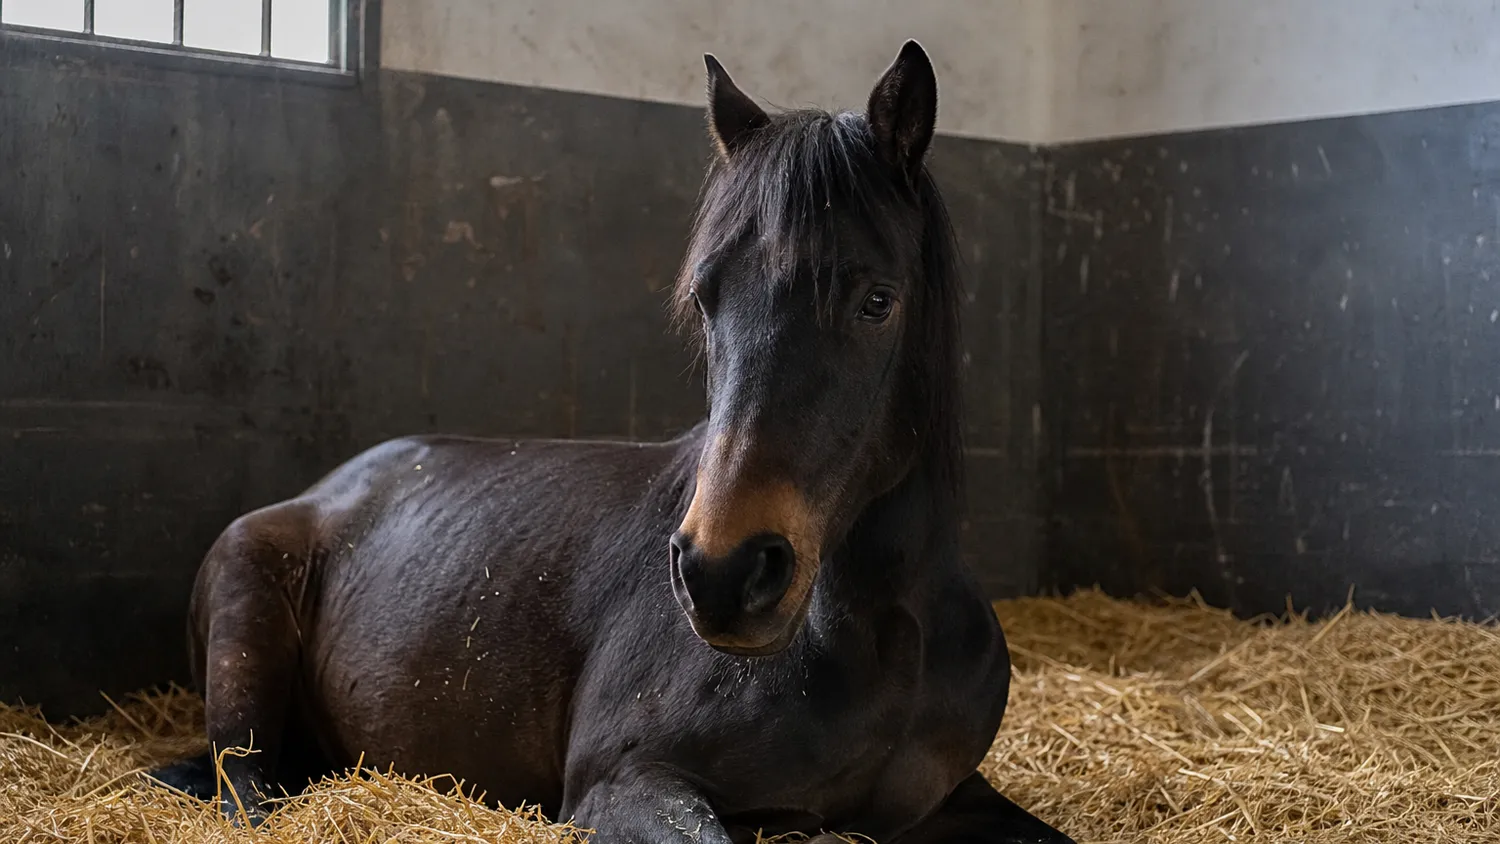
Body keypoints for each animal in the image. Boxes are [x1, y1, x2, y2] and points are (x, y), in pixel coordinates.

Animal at [146, 40, 1075, 844]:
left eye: (878, 301)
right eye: (704, 298)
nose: (722, 574)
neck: (882, 628)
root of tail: (323, 495)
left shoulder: (953, 798)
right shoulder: (623, 783)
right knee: (246, 786)